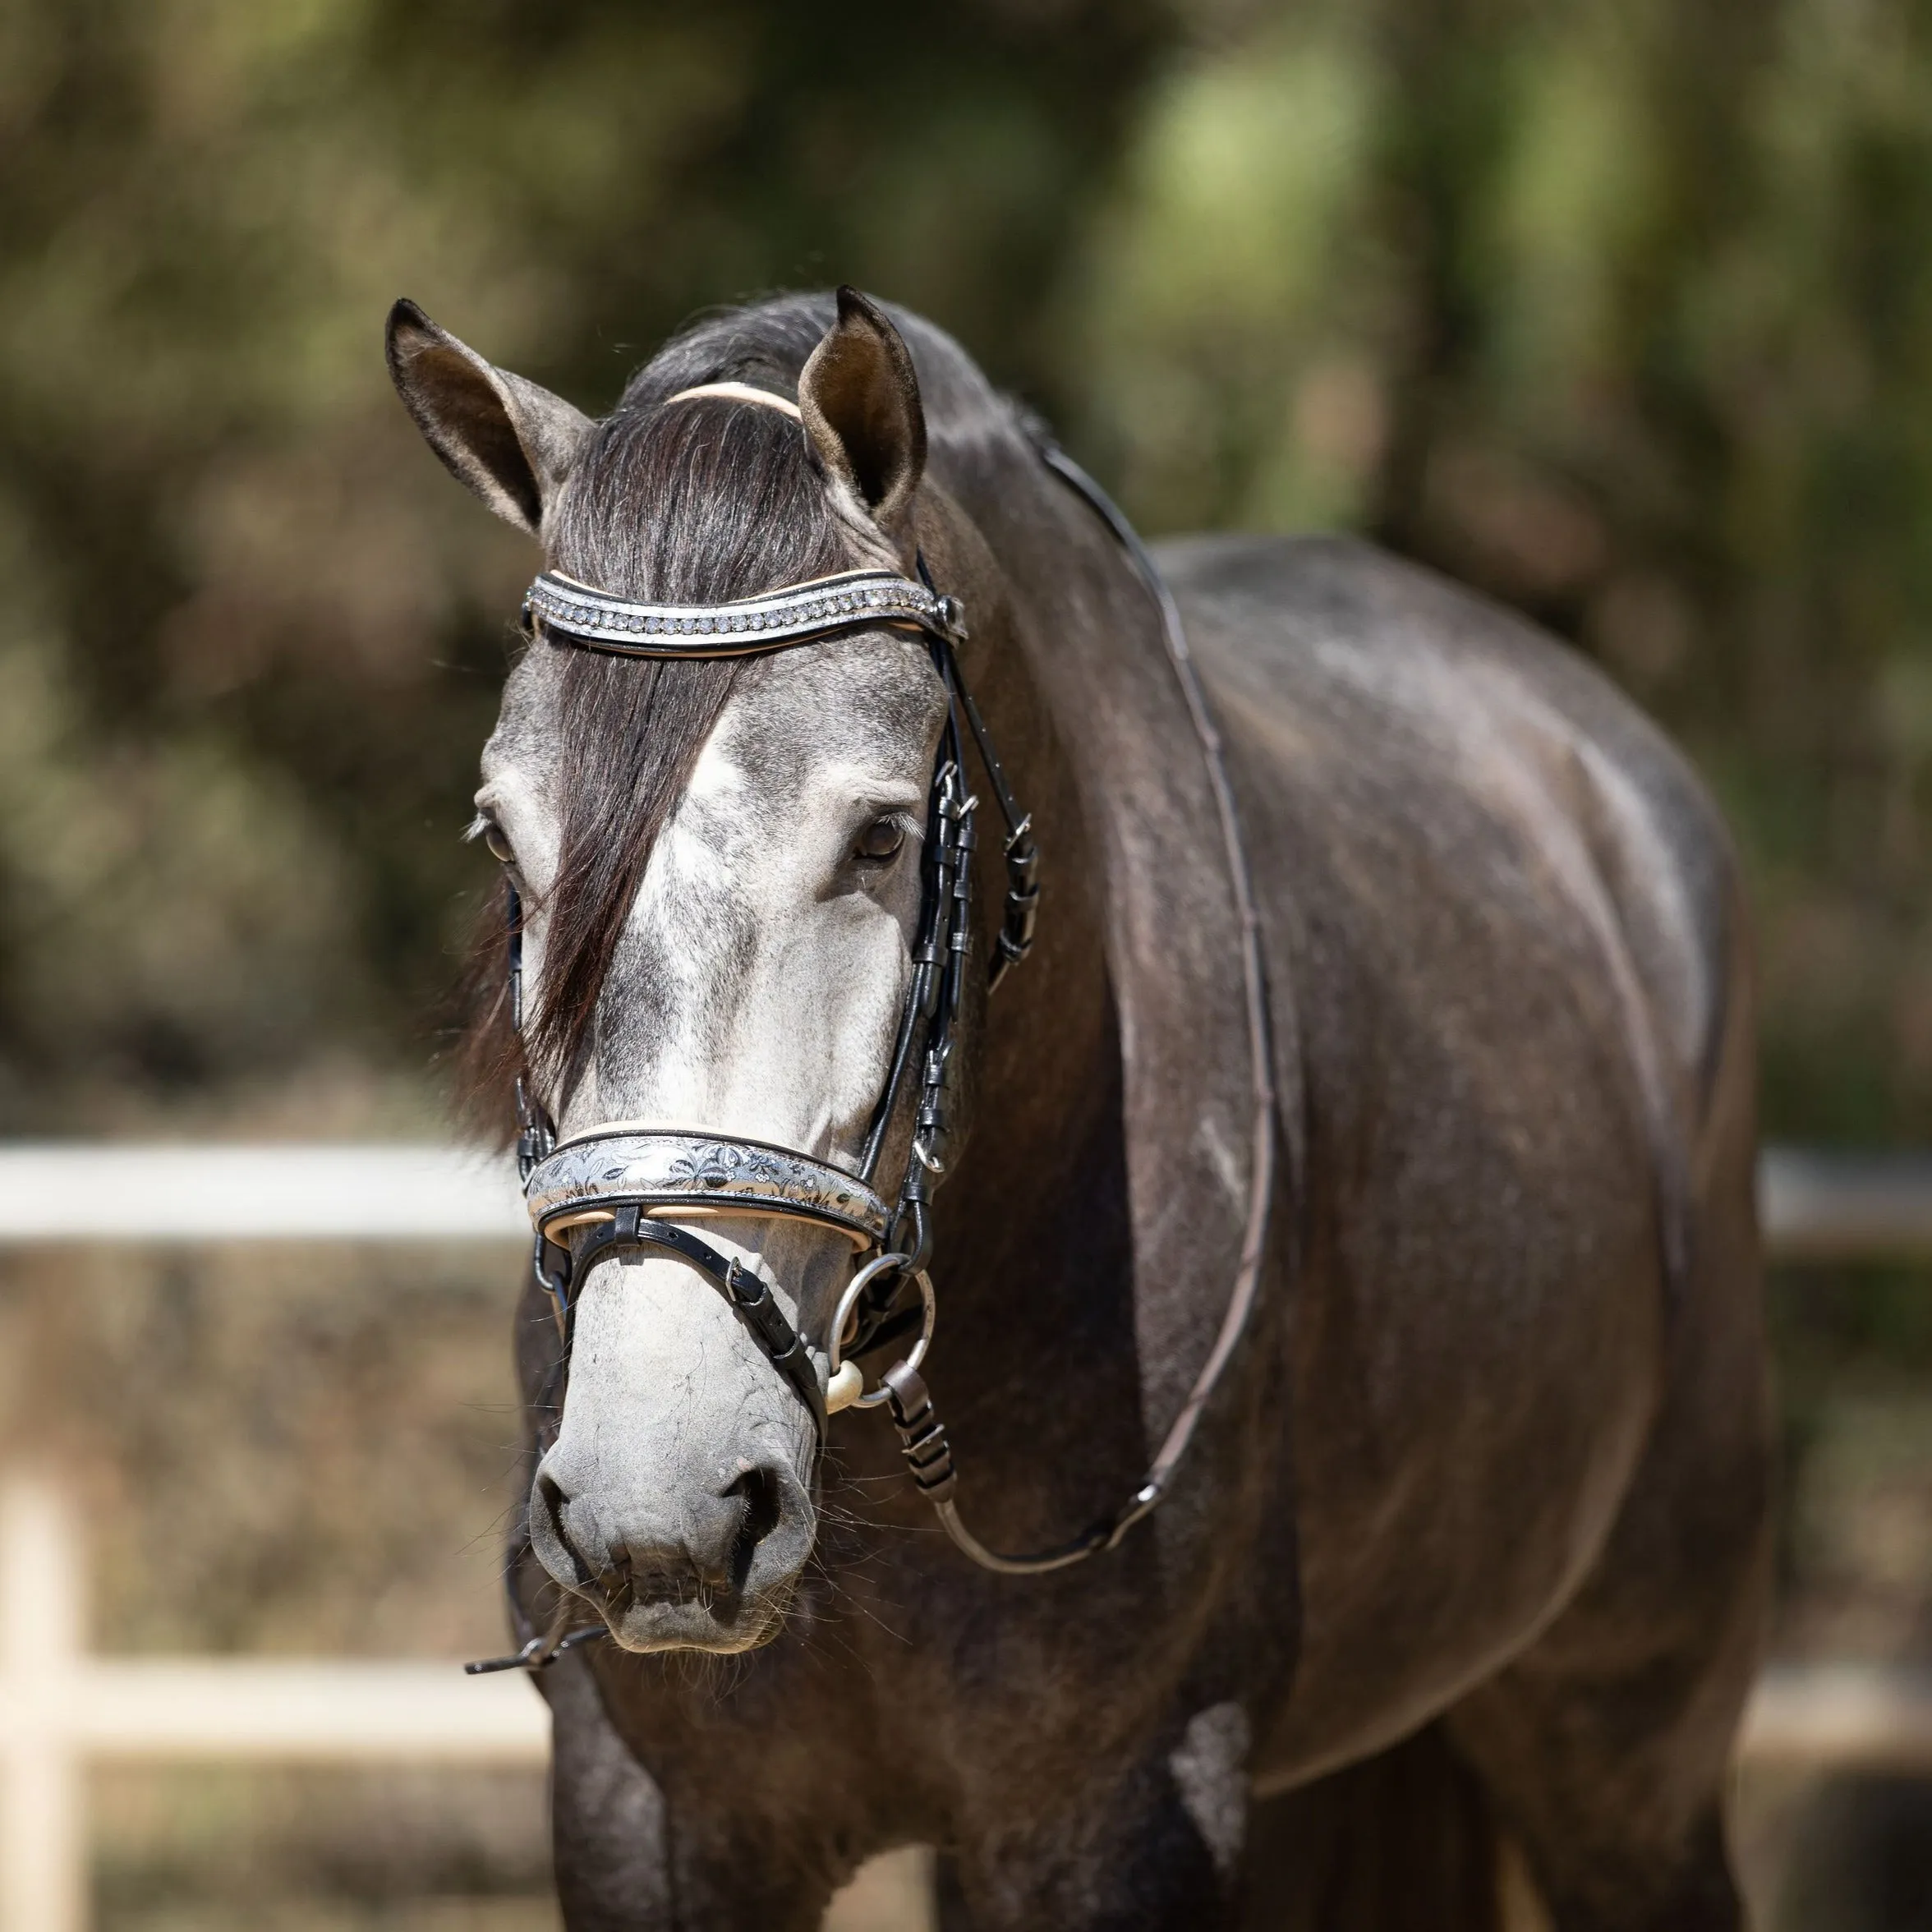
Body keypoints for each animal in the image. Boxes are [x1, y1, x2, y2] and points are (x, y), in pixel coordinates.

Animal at [384, 280, 1769, 1924]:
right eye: (503, 837)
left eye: (879, 835)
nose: (659, 1506)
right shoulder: (645, 1816)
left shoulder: (1118, 1812)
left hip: (1629, 1742)